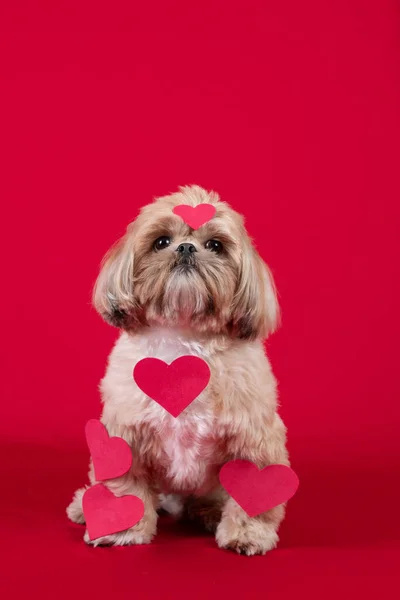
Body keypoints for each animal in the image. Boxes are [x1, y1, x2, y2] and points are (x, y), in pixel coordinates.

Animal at [67, 185, 290, 556]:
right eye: (161, 241)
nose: (186, 247)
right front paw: (121, 528)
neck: (183, 340)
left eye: (215, 245)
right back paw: (85, 506)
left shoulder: (253, 439)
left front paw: (248, 534)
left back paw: (208, 511)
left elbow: (255, 496)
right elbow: (125, 486)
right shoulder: (126, 436)